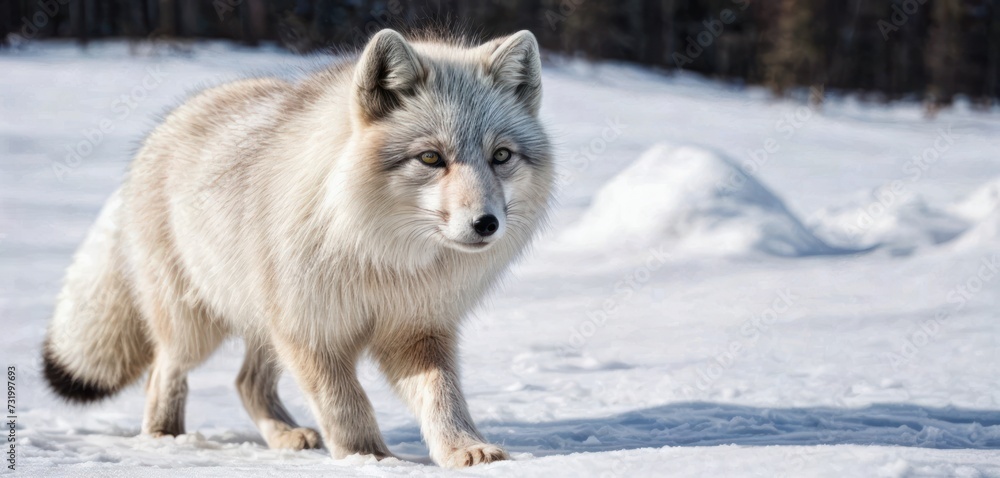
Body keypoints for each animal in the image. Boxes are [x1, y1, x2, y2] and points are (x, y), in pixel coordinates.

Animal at [41, 29, 554, 468]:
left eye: (501, 156)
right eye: (431, 158)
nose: (486, 224)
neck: (383, 259)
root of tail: (169, 122)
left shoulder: (417, 330)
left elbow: (444, 399)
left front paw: (463, 449)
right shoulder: (312, 332)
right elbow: (346, 404)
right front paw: (370, 458)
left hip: (263, 328)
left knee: (245, 382)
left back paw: (285, 435)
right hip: (197, 329)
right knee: (162, 370)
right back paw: (164, 437)